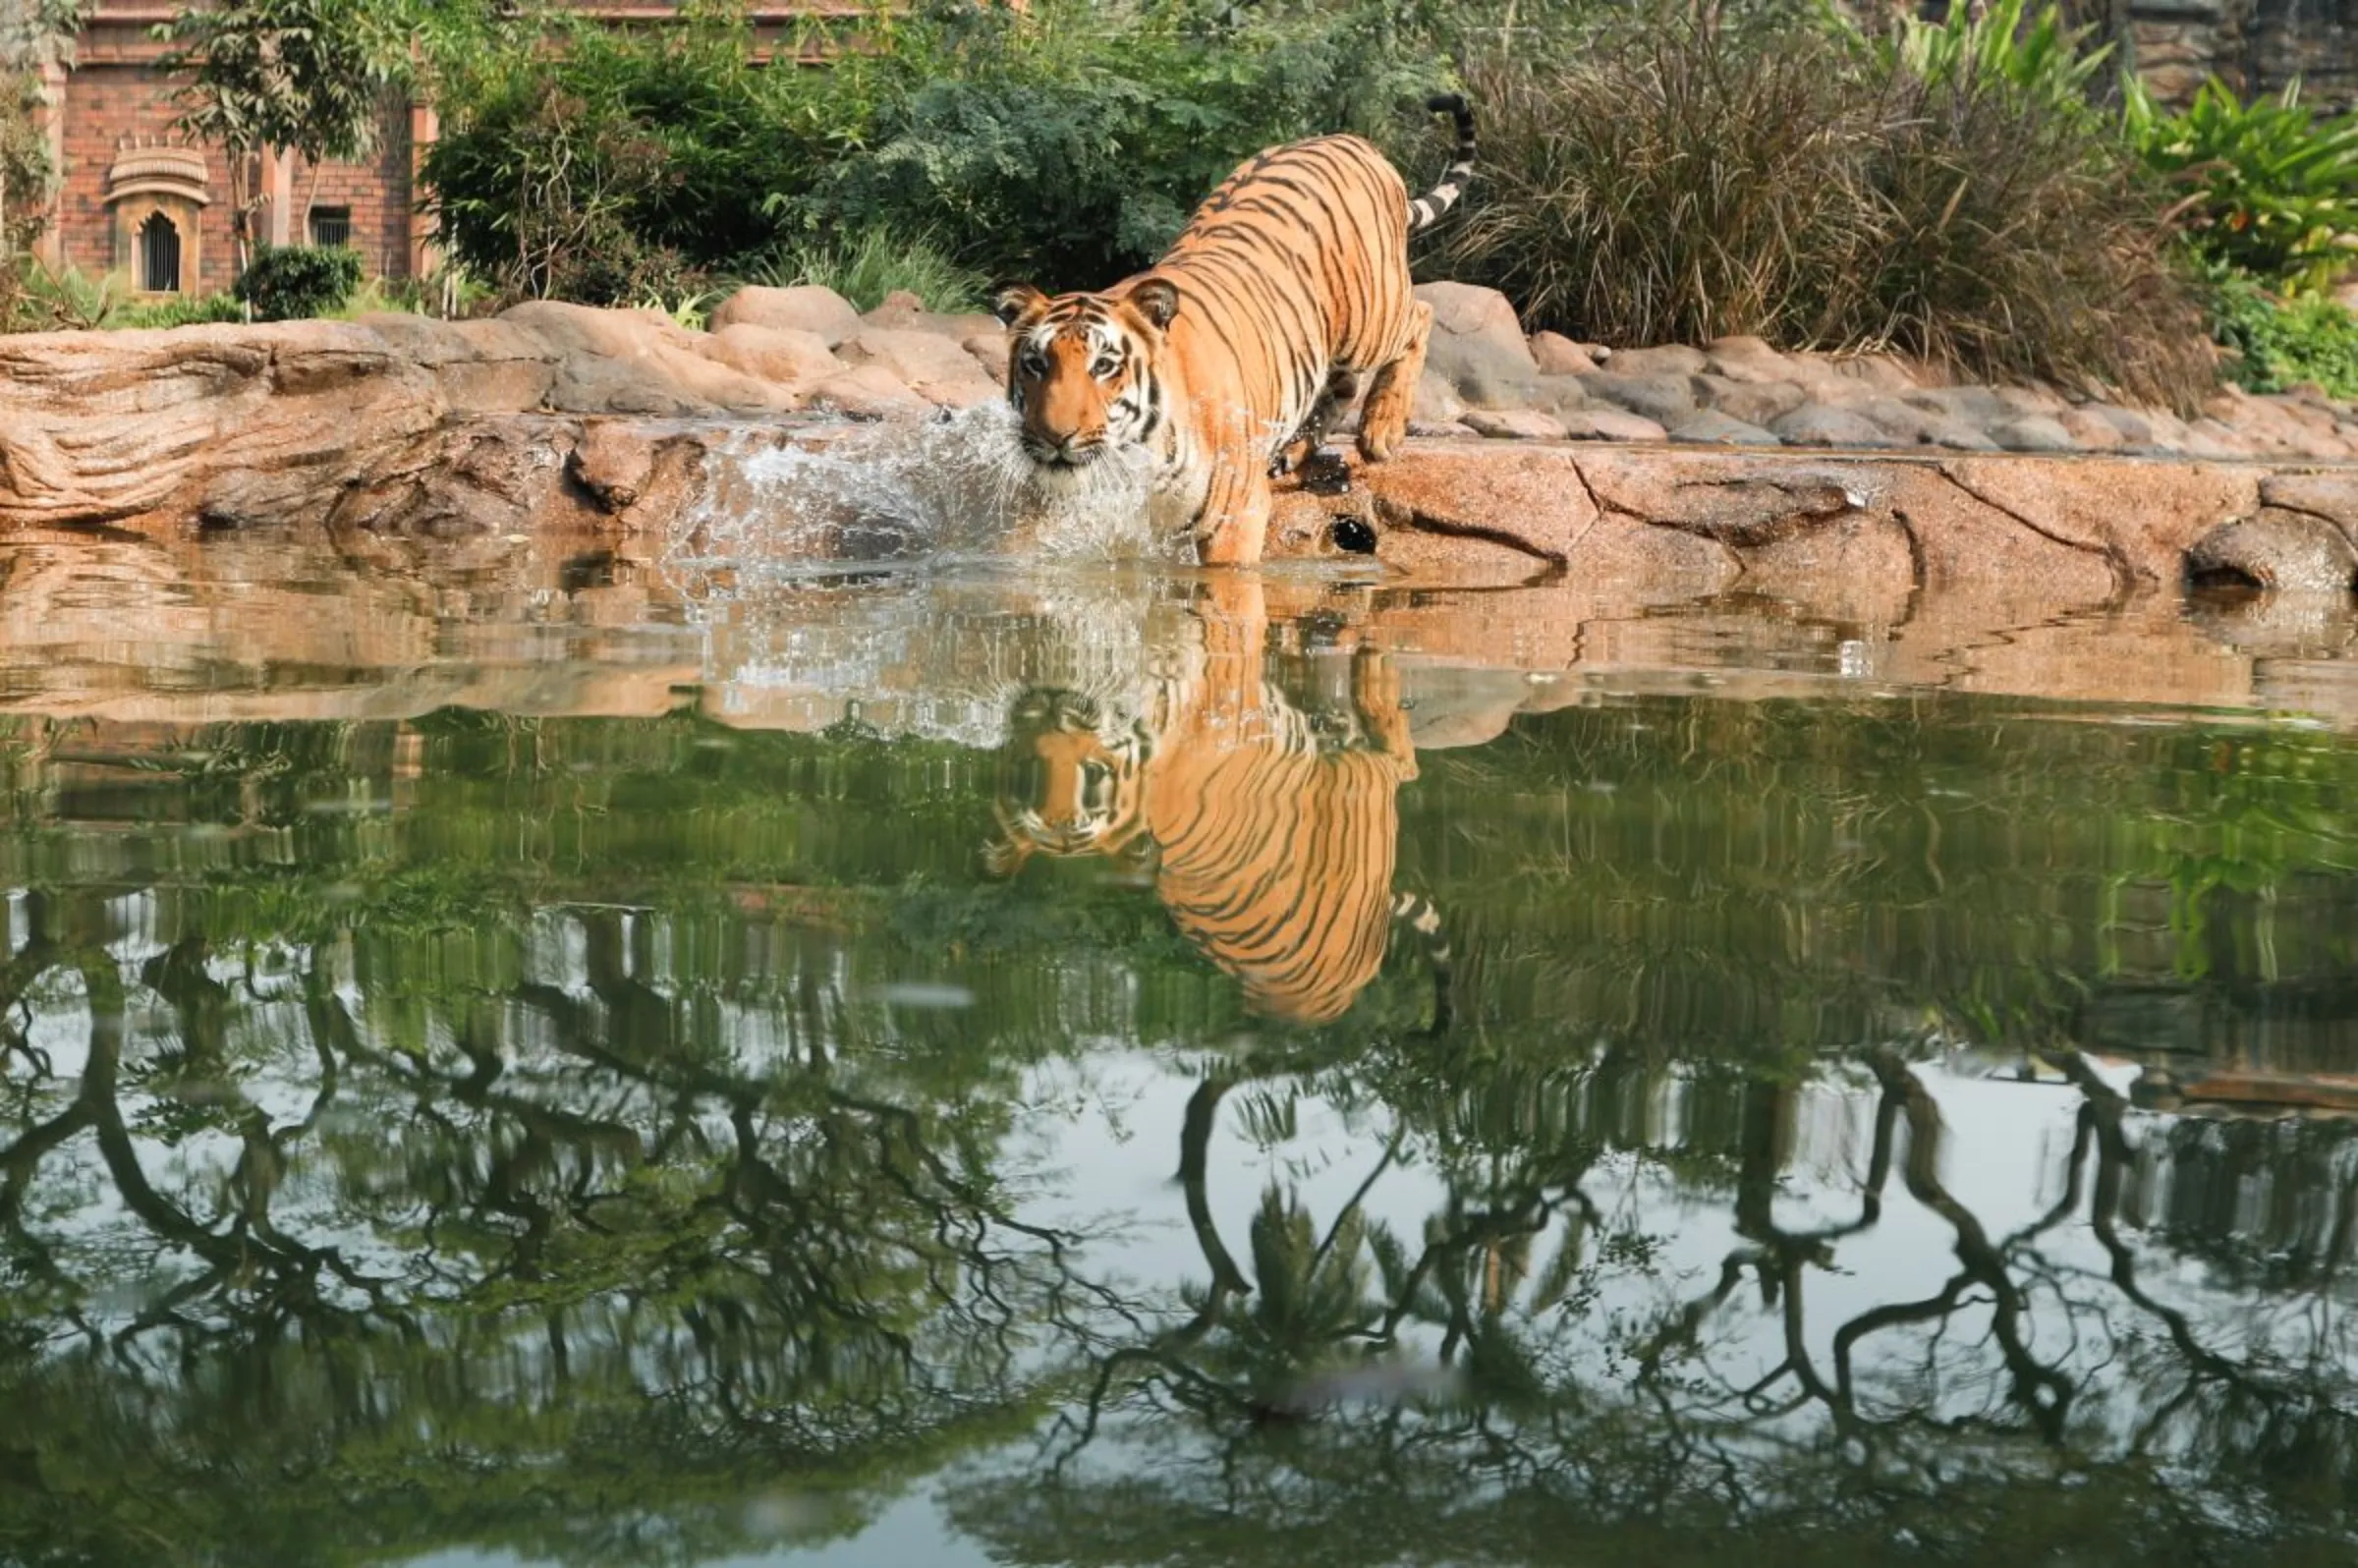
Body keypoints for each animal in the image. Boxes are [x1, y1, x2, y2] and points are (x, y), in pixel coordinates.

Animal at [981, 575, 1452, 1028]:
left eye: (1093, 777)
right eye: (1029, 776)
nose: (1052, 702)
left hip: (1361, 791)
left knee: (1401, 760)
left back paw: (1371, 671)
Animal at [990, 92, 1471, 568]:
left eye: (1104, 366)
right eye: (1035, 364)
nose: (1054, 437)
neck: (1136, 455)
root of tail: (1354, 141)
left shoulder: (1235, 512)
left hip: (1368, 317)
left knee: (1421, 314)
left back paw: (1380, 431)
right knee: (1342, 385)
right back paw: (1292, 451)